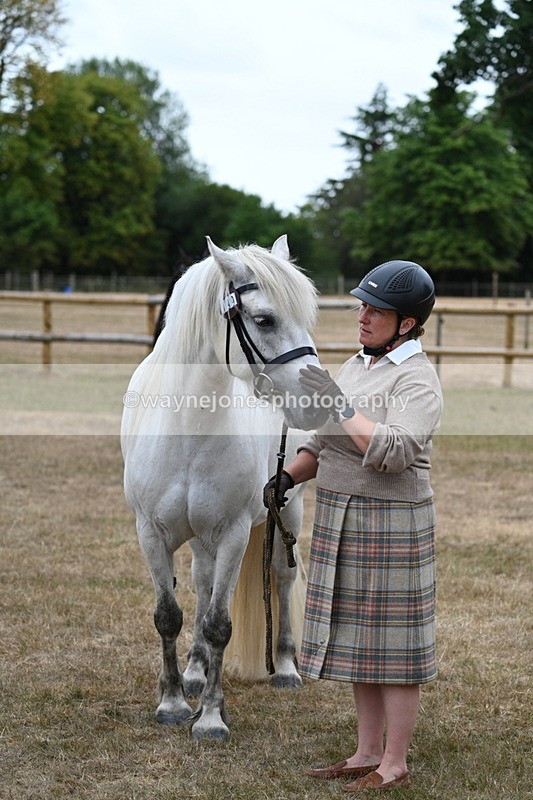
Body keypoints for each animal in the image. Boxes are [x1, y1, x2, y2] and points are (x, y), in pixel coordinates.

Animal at [121, 235, 329, 740]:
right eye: (265, 319)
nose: (319, 400)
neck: (187, 427)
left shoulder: (234, 532)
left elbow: (219, 623)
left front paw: (211, 717)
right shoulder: (150, 533)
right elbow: (169, 615)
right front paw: (174, 702)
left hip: (287, 510)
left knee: (282, 576)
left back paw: (286, 667)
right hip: (201, 537)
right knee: (202, 580)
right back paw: (195, 671)